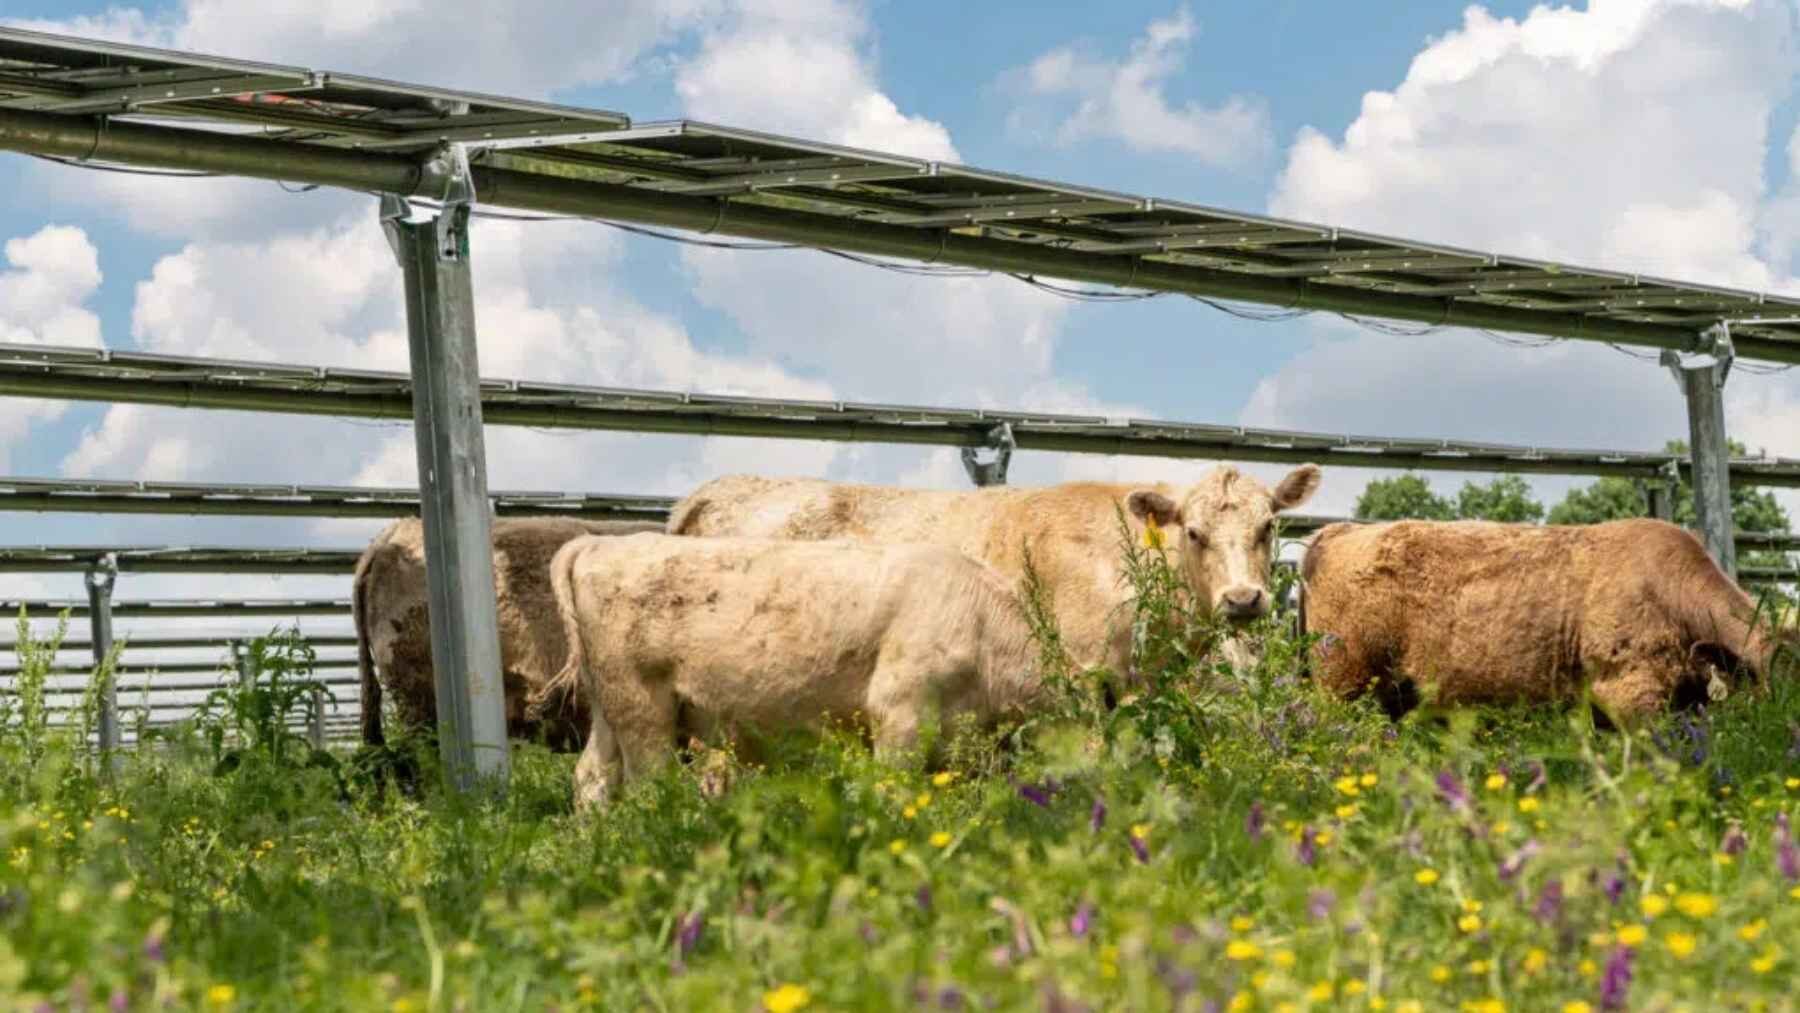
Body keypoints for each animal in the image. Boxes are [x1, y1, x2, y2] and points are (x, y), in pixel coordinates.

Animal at [539, 533, 1044, 811]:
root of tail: (601, 541)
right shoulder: (900, 712)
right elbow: (895, 789)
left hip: (609, 704)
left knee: (593, 778)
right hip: (643, 706)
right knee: (648, 785)